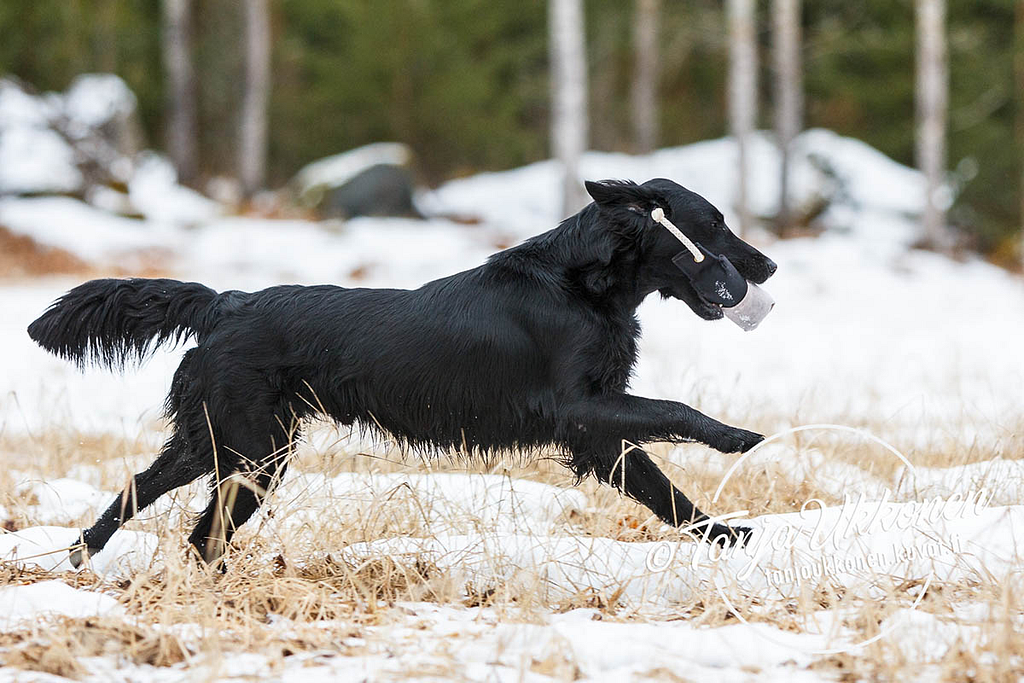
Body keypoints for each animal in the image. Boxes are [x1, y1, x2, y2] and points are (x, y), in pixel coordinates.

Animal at [25, 178, 774, 565]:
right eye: (712, 223)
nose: (767, 266)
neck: (581, 282)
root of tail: (224, 301)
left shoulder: (598, 431)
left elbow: (663, 490)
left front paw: (729, 536)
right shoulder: (581, 409)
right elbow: (675, 412)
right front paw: (737, 438)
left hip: (231, 444)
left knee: (166, 506)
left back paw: (86, 554)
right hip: (250, 445)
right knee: (189, 519)